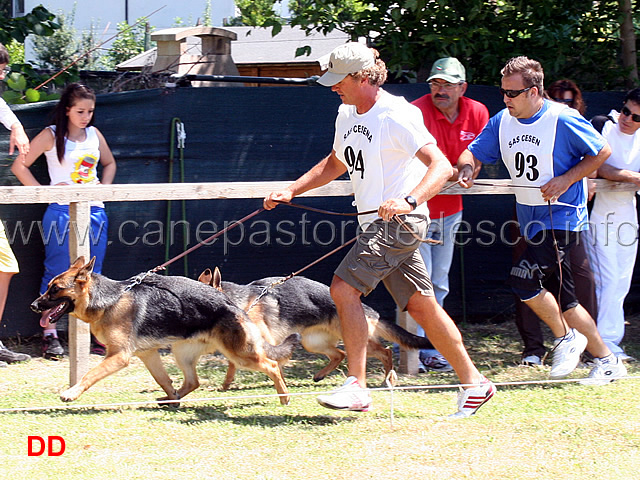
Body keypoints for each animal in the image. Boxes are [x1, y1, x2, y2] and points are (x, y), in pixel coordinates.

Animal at [30, 256, 300, 404]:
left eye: (55, 289)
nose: (33, 305)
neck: (109, 300)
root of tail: (230, 303)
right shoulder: (147, 354)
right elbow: (162, 379)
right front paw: (172, 397)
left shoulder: (119, 357)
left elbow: (89, 375)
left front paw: (71, 393)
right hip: (181, 353)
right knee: (193, 381)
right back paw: (173, 399)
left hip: (239, 355)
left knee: (272, 365)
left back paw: (284, 396)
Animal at [198, 266, 432, 390]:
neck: (243, 302)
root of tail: (370, 310)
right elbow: (232, 364)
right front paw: (226, 385)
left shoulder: (265, 344)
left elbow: (266, 363)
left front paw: (280, 384)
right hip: (312, 342)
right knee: (339, 354)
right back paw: (320, 375)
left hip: (356, 339)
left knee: (384, 351)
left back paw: (388, 378)